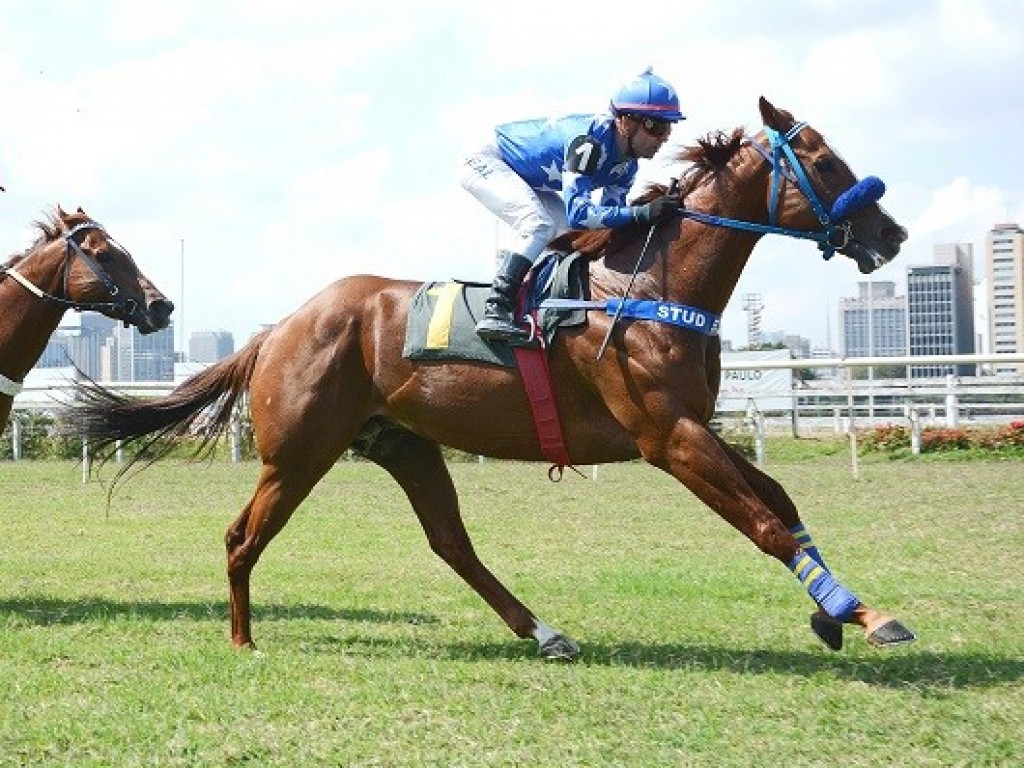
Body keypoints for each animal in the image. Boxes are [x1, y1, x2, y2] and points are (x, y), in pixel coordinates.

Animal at [64, 97, 913, 663]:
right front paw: (860, 612)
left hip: (403, 444)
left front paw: (844, 614)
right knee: (244, 536)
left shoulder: (692, 427)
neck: (647, 283)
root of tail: (279, 327)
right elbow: (764, 523)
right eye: (824, 161)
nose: (894, 233)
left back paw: (545, 631)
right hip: (299, 452)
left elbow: (781, 502)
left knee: (451, 543)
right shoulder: (666, 437)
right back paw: (243, 639)